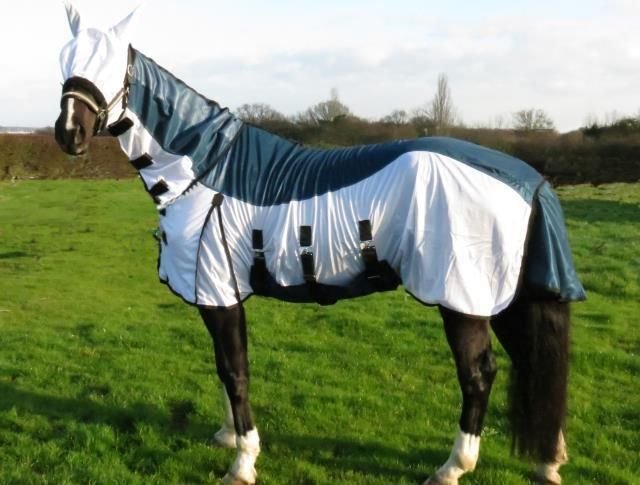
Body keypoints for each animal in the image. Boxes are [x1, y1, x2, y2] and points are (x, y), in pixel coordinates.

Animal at [53, 4, 584, 484]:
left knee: (479, 376)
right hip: (507, 297)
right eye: (65, 59)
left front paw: (243, 462)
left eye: (110, 61)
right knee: (533, 364)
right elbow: (224, 370)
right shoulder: (217, 293)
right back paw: (547, 460)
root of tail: (529, 179)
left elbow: (235, 371)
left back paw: (453, 467)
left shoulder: (219, 293)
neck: (205, 169)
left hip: (462, 299)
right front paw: (227, 436)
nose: (68, 134)